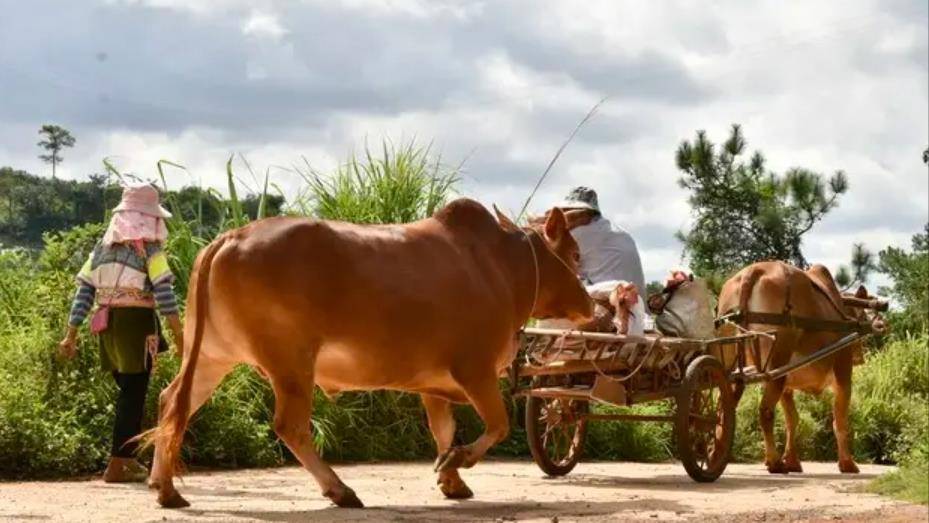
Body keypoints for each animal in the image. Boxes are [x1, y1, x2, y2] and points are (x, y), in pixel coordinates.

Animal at [149, 199, 592, 510]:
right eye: (575, 254)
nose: (589, 304)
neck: (501, 268)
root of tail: (231, 237)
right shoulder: (476, 370)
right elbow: (496, 427)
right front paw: (456, 462)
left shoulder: (433, 384)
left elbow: (443, 430)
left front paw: (451, 479)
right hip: (291, 363)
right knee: (290, 426)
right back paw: (340, 490)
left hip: (212, 357)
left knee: (174, 403)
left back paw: (165, 488)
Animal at [716, 262, 872, 474]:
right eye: (863, 315)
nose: (860, 357)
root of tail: (752, 271)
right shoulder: (843, 373)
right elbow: (839, 420)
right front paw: (847, 463)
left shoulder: (787, 386)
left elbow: (792, 419)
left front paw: (792, 460)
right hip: (777, 359)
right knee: (765, 411)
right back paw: (774, 461)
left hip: (732, 357)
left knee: (722, 409)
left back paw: (714, 453)